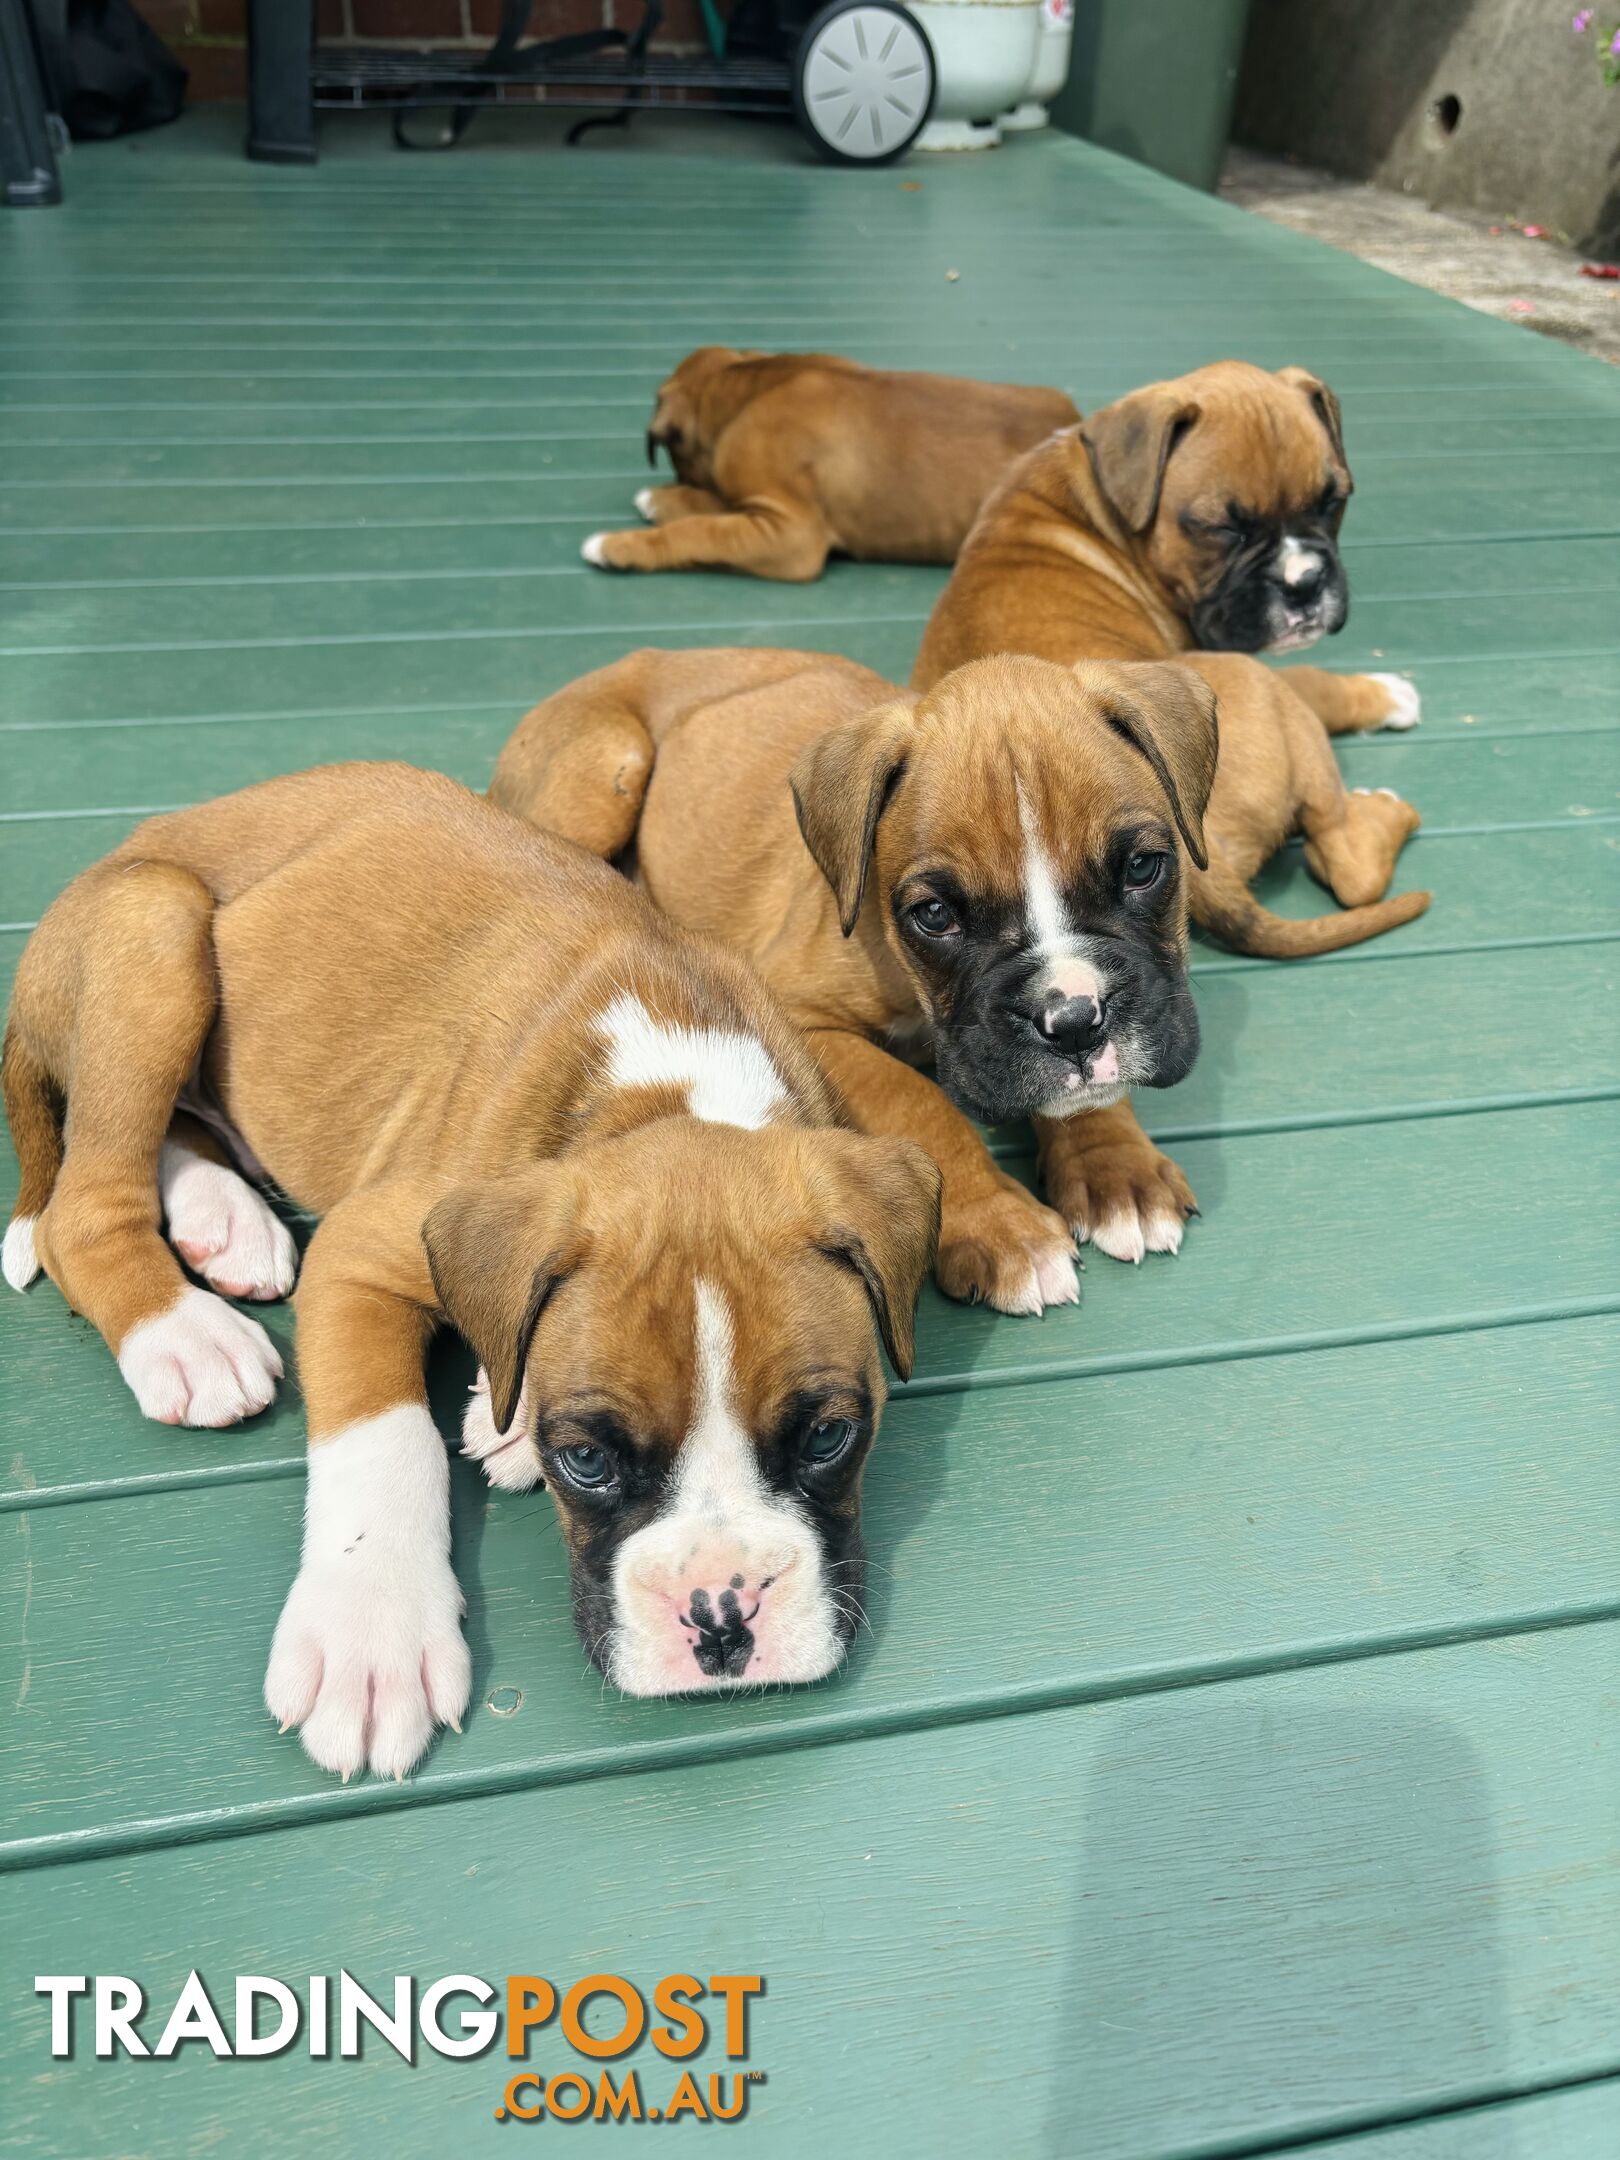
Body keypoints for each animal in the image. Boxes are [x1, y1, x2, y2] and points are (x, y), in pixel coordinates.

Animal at [3, 768, 937, 1779]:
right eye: (588, 1461)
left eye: (829, 1437)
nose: (721, 1618)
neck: (668, 1087)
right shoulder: (361, 1252)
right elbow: (383, 1441)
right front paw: (370, 1636)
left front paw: (503, 1409)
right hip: (156, 927)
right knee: (85, 1202)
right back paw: (180, 1333)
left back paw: (226, 1218)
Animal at [494, 643, 1218, 1313]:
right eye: (935, 915)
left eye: (1143, 867)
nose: (1071, 1023)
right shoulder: (801, 1018)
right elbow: (916, 1102)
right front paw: (1003, 1227)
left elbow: (1093, 1095)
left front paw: (1116, 1171)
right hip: (604, 774)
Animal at [578, 345, 1080, 583]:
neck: (745, 389)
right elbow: (710, 508)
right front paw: (661, 499)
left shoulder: (789, 533)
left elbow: (701, 531)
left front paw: (618, 545)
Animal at [920, 360, 1442, 954]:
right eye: (1222, 529)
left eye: (1331, 503)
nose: (1304, 583)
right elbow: (1315, 680)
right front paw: (1386, 694)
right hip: (1260, 685)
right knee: (1348, 860)